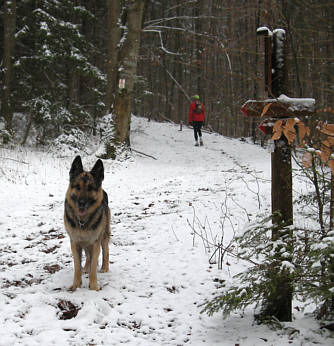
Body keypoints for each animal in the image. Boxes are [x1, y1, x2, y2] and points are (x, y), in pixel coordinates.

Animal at [63, 155, 109, 290]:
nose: (82, 203)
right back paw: (86, 268)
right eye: (77, 187)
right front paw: (76, 286)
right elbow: (77, 266)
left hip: (103, 236)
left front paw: (93, 287)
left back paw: (104, 267)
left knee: (106, 251)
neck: (82, 221)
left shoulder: (95, 243)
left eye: (90, 188)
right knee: (88, 256)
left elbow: (94, 266)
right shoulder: (75, 243)